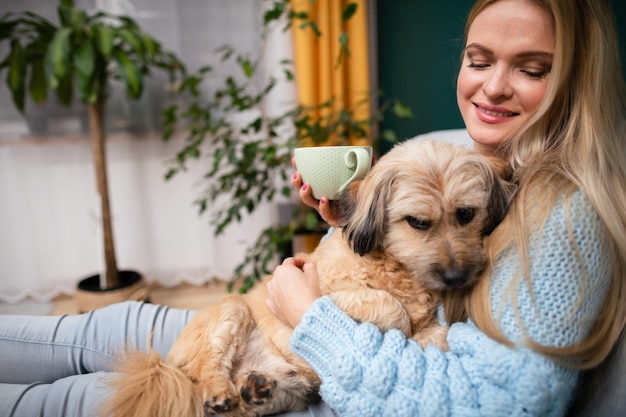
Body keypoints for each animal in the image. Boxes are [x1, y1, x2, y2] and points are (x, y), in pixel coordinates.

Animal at [102, 140, 512, 416]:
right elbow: (389, 307)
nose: (457, 276)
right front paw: (398, 322)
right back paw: (219, 390)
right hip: (231, 312)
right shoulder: (334, 292)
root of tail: (167, 363)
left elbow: (435, 333)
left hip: (296, 387)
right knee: (207, 370)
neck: (395, 268)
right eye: (417, 222)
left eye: (465, 214)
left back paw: (255, 390)